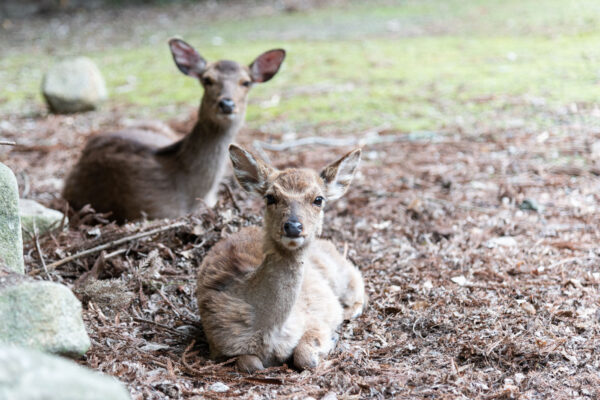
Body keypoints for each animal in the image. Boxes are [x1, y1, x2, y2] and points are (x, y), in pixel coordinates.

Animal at [197, 144, 366, 372]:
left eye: (318, 199)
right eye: (270, 197)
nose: (293, 226)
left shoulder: (317, 319)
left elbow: (306, 357)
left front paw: (331, 340)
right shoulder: (218, 343)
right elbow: (250, 363)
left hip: (339, 273)